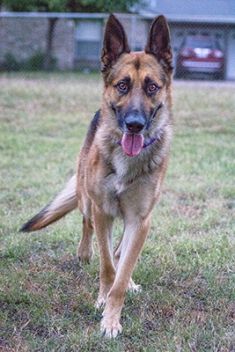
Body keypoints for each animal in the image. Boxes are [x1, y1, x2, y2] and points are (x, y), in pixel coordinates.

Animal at [20, 14, 173, 338]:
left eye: (152, 87)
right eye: (123, 85)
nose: (134, 125)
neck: (126, 161)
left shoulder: (140, 220)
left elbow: (122, 269)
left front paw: (112, 317)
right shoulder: (104, 211)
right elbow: (107, 266)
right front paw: (103, 300)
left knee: (119, 251)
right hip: (88, 200)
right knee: (86, 224)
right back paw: (83, 253)